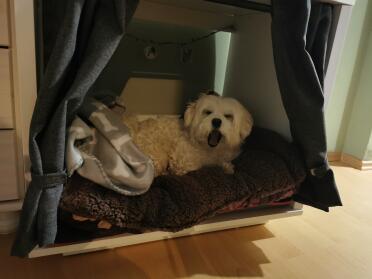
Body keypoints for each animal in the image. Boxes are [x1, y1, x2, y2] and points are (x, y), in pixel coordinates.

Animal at [122, 94, 253, 177]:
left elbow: (225, 163)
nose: (216, 121)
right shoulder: (181, 157)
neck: (210, 149)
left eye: (228, 116)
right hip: (158, 156)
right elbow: (189, 166)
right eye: (208, 112)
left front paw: (228, 168)